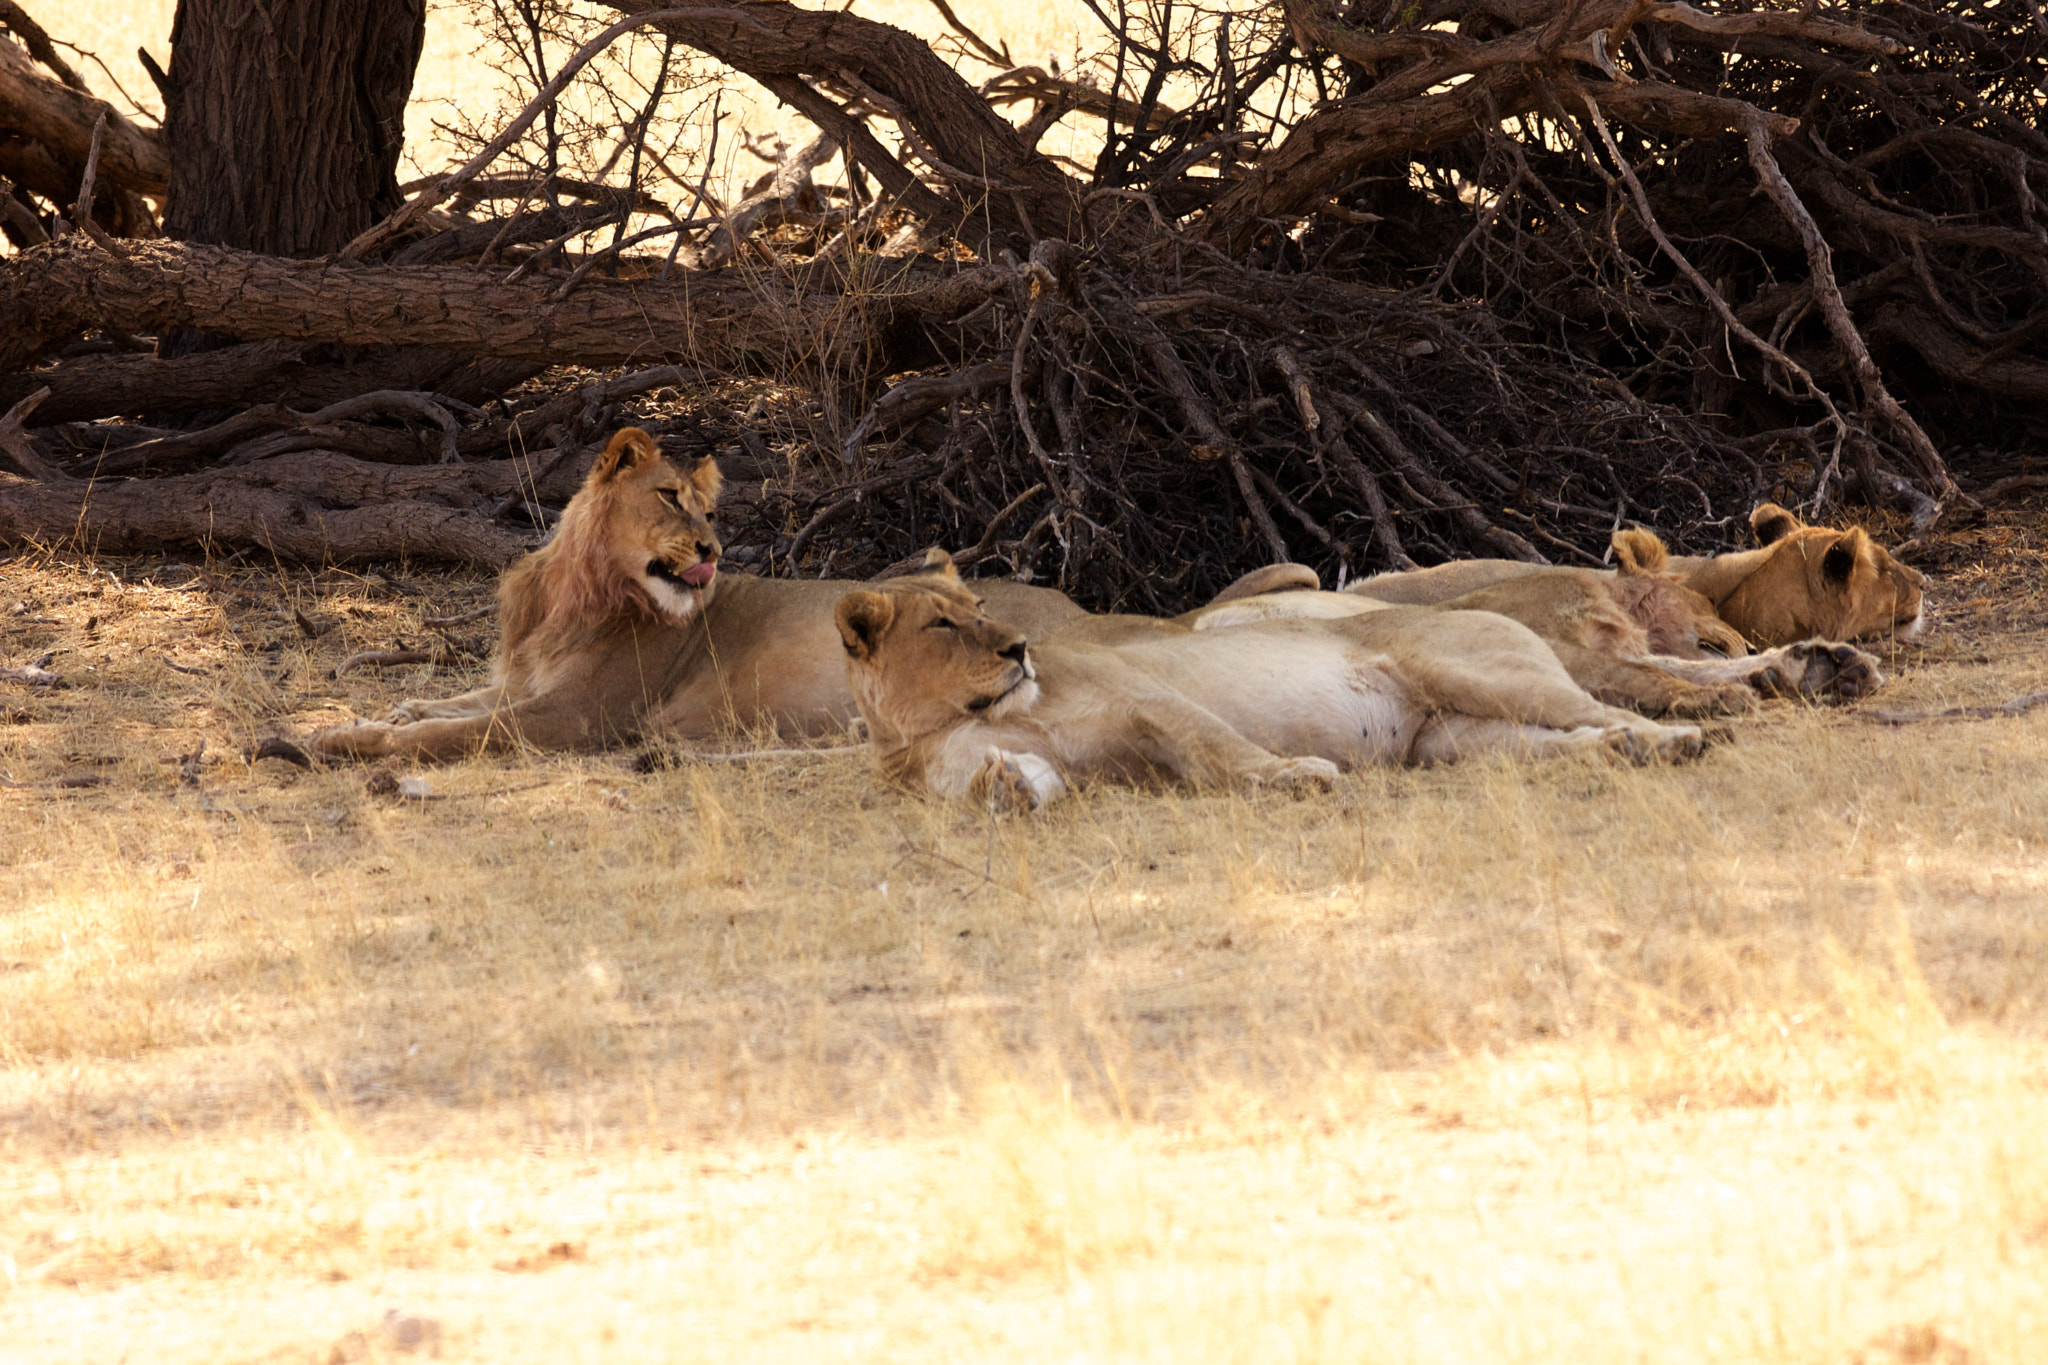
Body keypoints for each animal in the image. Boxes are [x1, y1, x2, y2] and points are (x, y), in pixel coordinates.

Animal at [307, 427, 1089, 765]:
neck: (573, 595)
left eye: (709, 512)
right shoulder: (531, 683)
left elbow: (462, 729)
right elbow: (462, 701)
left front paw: (367, 739)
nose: (712, 551)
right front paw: (380, 714)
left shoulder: (578, 714)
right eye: (668, 497)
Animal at [831, 552, 1712, 810]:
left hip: (1478, 669)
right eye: (942, 625)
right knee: (1578, 734)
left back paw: (1680, 736)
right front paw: (1006, 786)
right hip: (1459, 742)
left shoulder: (1146, 695)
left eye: (978, 607)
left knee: (1599, 703)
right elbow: (1029, 777)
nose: (1018, 648)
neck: (958, 715)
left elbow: (1219, 746)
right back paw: (1625, 749)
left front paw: (1296, 775)